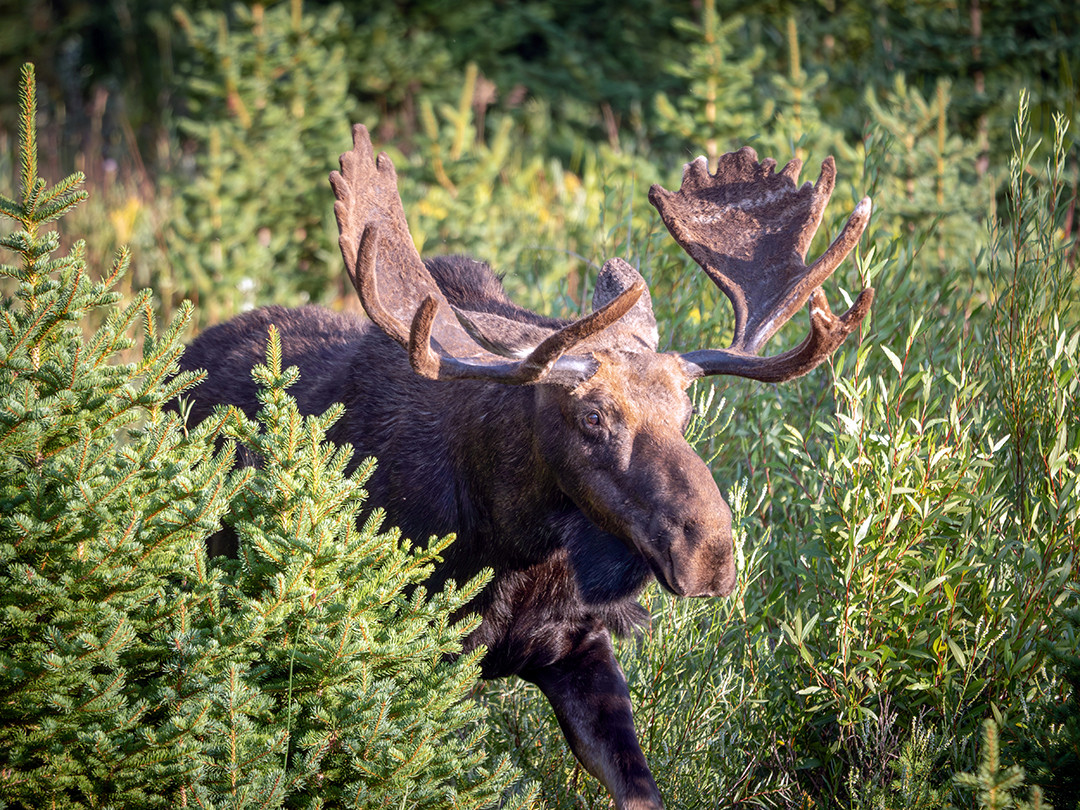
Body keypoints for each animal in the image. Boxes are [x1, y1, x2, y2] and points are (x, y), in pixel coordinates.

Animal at [176, 124, 873, 809]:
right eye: (592, 416)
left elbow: (637, 787)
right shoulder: (427, 656)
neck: (512, 543)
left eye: (686, 410)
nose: (710, 554)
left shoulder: (576, 644)